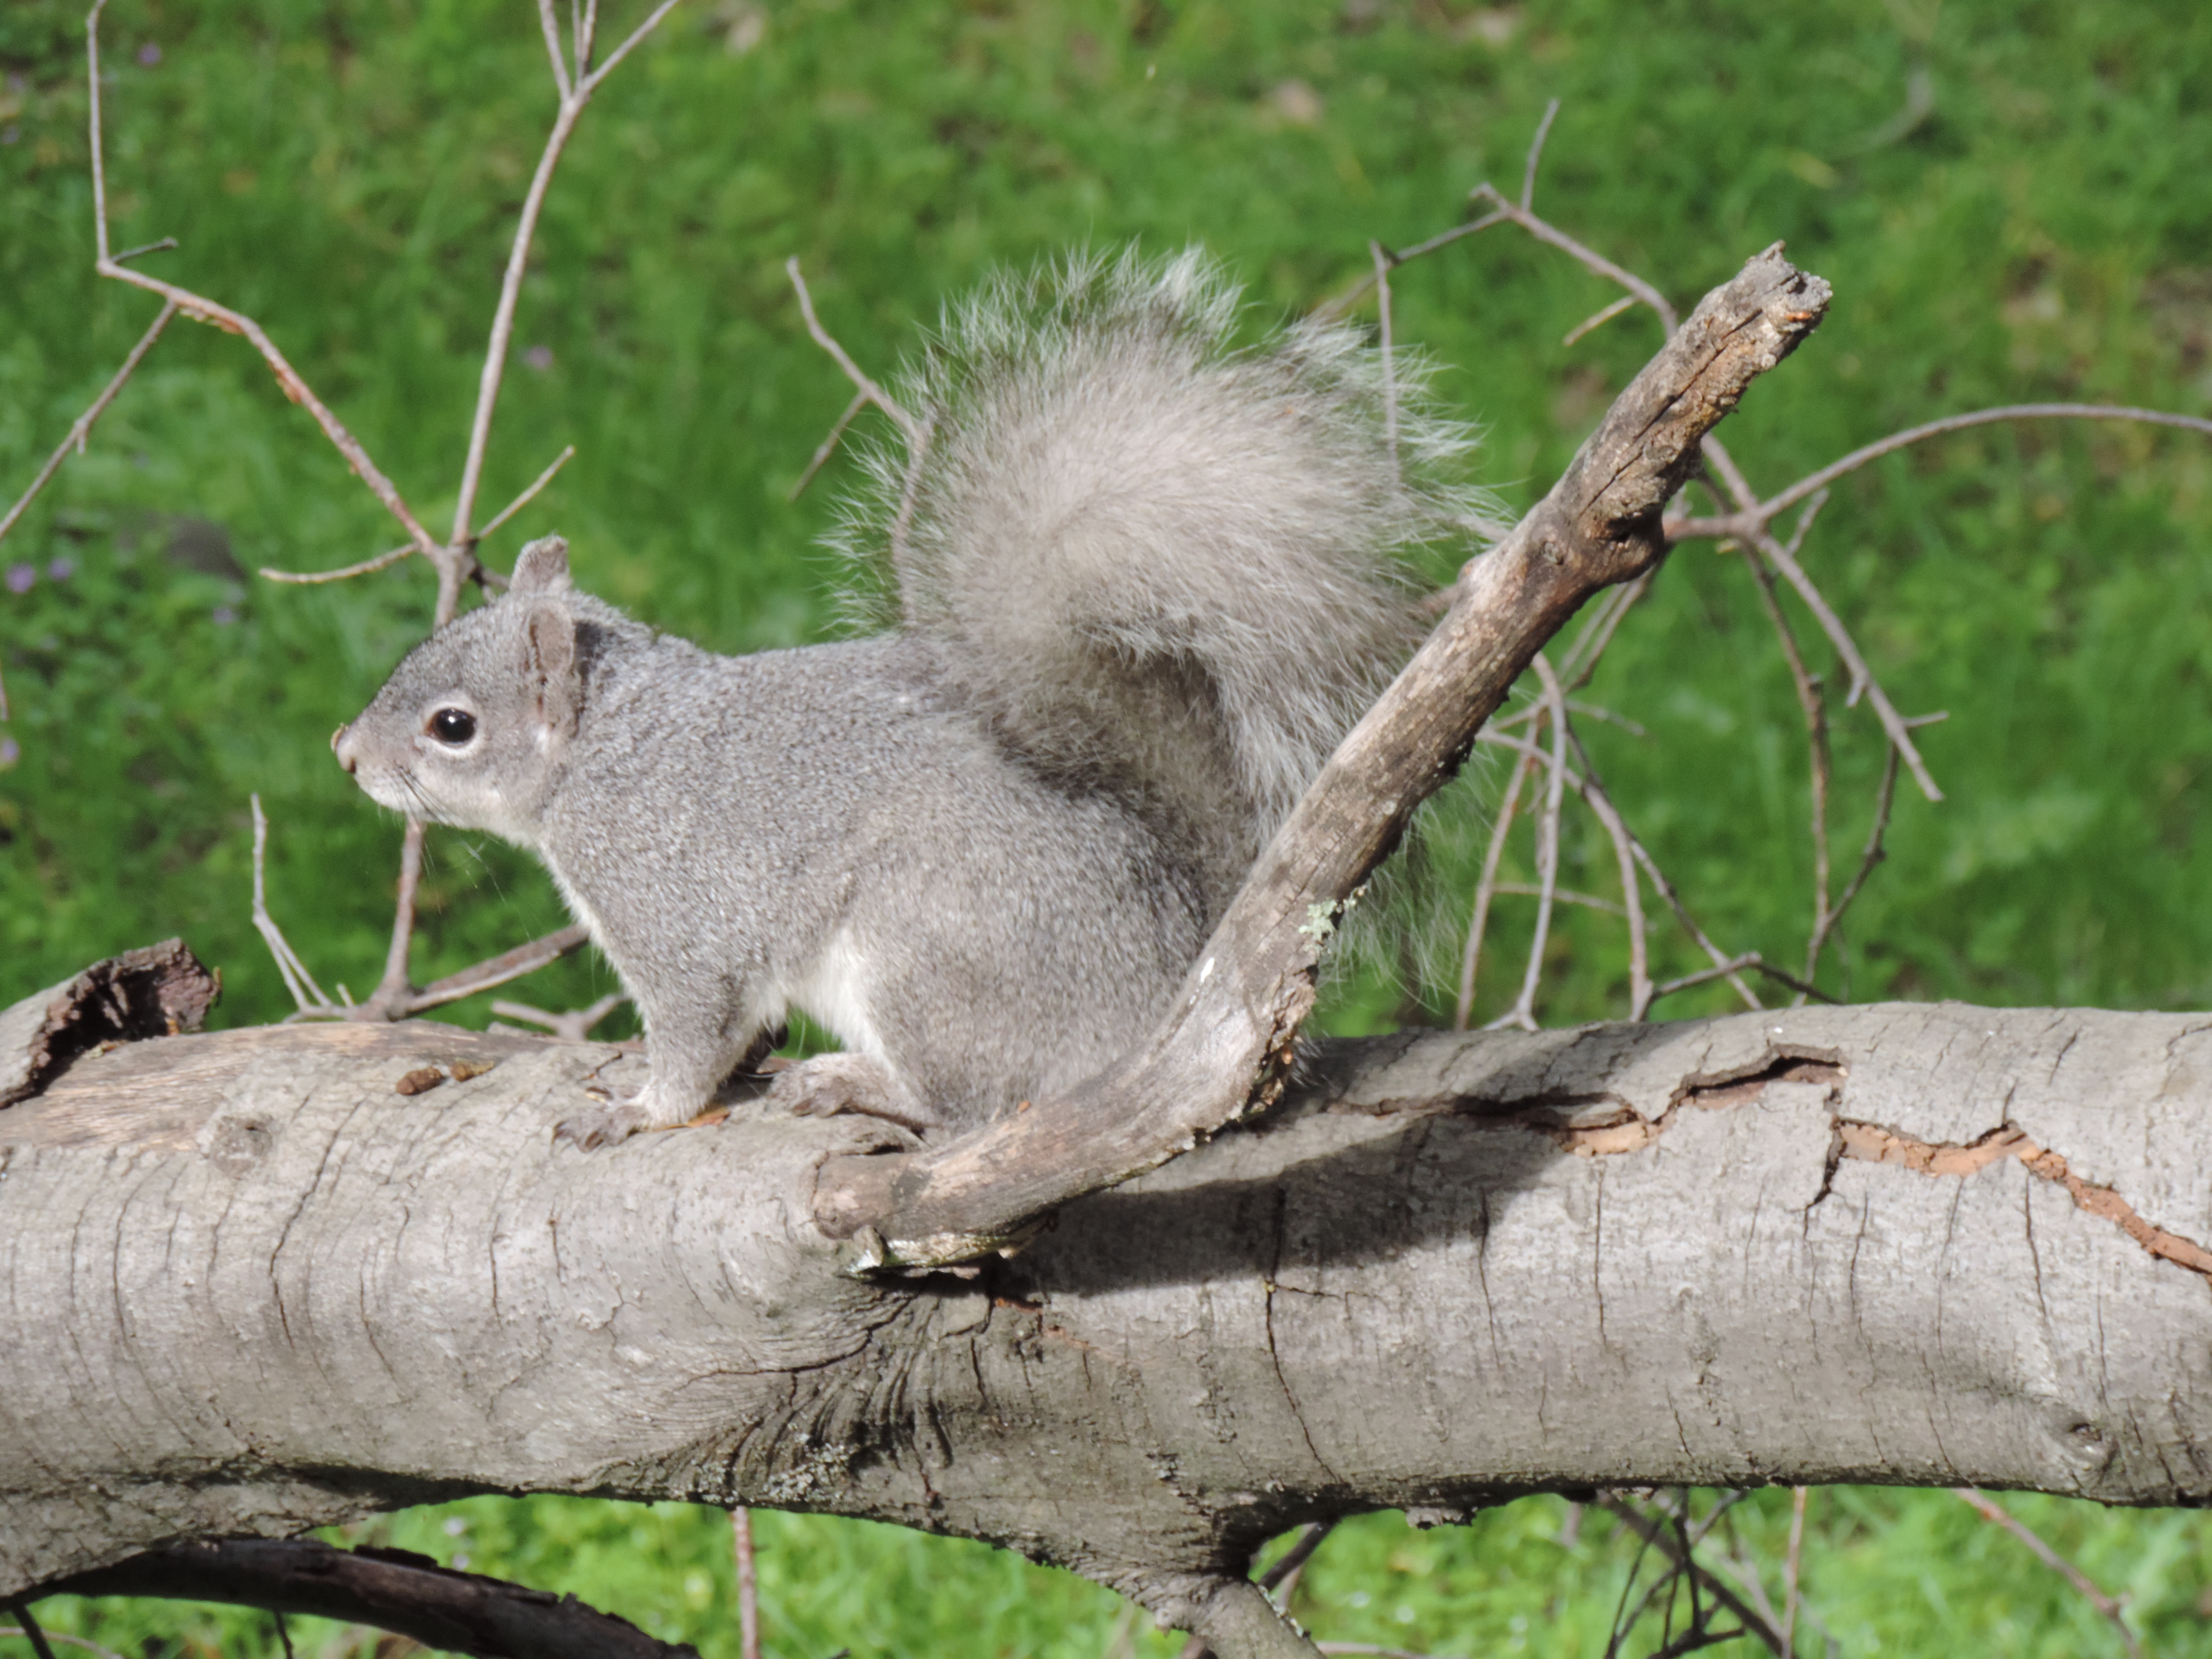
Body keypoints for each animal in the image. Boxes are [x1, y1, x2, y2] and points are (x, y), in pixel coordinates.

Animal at [333, 250, 1480, 1148]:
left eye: (451, 727)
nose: (345, 750)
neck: (608, 749)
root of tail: (1164, 1001)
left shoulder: (672, 904)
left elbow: (695, 1029)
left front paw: (639, 1109)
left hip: (927, 954)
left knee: (972, 1106)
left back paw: (859, 1085)